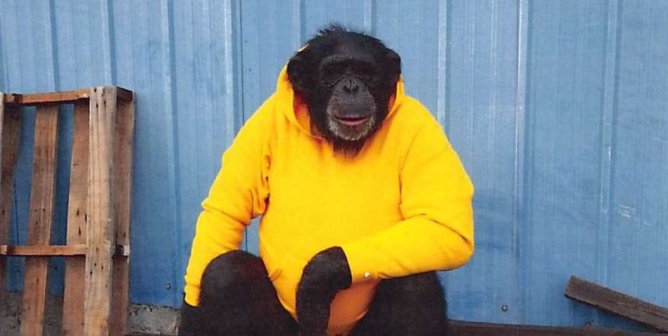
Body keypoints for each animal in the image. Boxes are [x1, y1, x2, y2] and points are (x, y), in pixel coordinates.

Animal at [177, 25, 474, 336]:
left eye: (365, 72)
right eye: (333, 72)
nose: (351, 87)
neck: (338, 141)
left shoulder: (423, 128)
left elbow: (445, 224)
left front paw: (318, 279)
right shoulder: (262, 122)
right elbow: (226, 212)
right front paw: (192, 319)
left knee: (414, 282)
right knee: (226, 273)